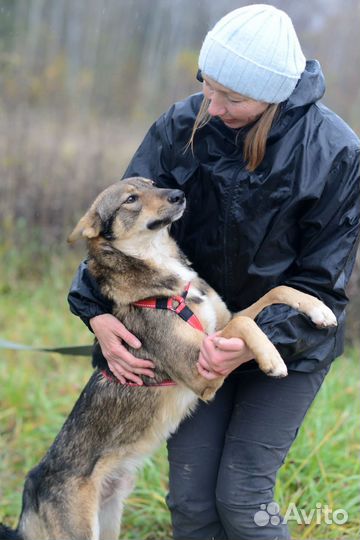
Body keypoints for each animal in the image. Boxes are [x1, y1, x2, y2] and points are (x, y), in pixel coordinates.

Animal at [0, 178, 338, 540]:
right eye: (131, 199)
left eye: (152, 184)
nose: (179, 194)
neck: (163, 272)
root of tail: (29, 492)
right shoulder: (202, 366)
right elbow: (247, 325)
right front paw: (272, 358)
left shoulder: (223, 324)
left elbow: (275, 293)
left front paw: (319, 309)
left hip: (109, 521)